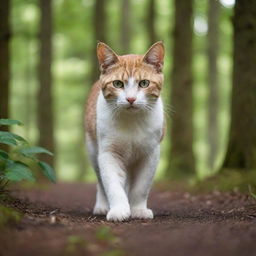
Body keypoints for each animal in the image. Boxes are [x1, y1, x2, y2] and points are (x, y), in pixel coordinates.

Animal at [85, 41, 165, 221]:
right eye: (117, 84)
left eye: (144, 83)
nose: (131, 99)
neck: (132, 122)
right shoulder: (109, 153)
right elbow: (112, 184)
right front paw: (119, 210)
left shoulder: (150, 155)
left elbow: (141, 187)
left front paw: (138, 209)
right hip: (93, 150)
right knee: (100, 181)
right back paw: (102, 205)